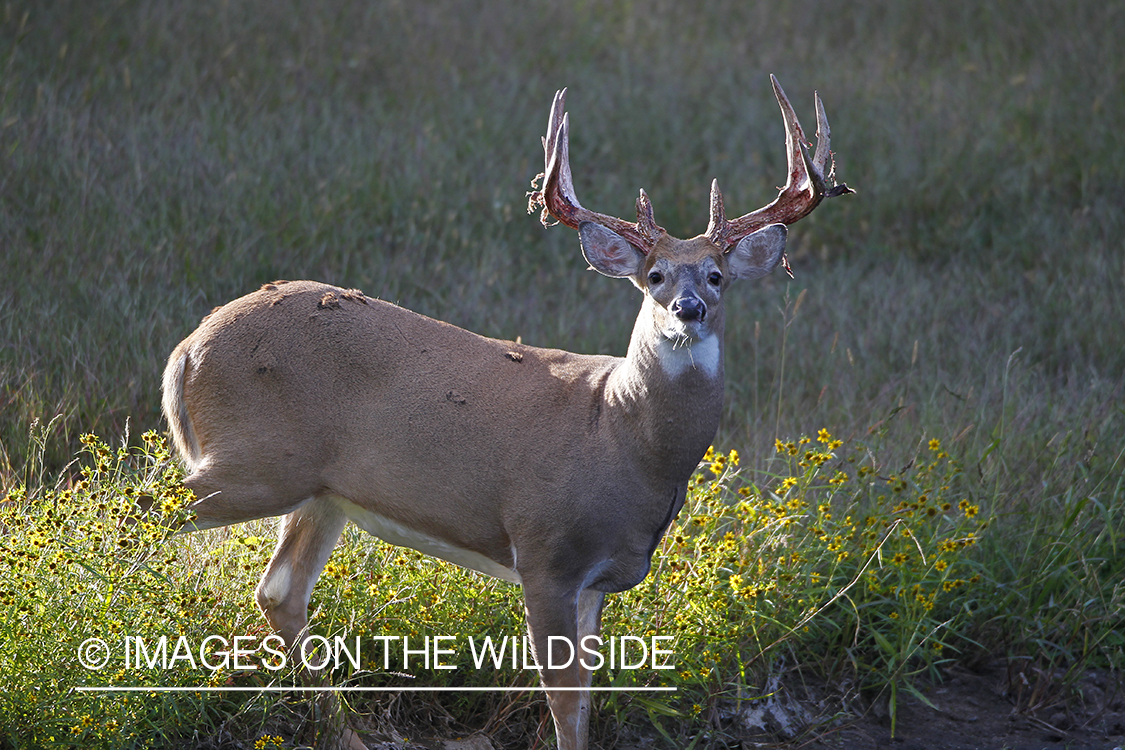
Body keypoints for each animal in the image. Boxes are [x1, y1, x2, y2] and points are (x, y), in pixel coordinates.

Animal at [163, 77, 850, 750]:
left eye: (716, 275)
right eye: (654, 276)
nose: (688, 309)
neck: (623, 436)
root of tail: (187, 349)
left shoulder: (597, 580)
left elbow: (586, 702)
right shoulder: (546, 550)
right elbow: (565, 702)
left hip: (323, 491)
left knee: (279, 590)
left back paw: (346, 735)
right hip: (257, 458)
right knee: (152, 509)